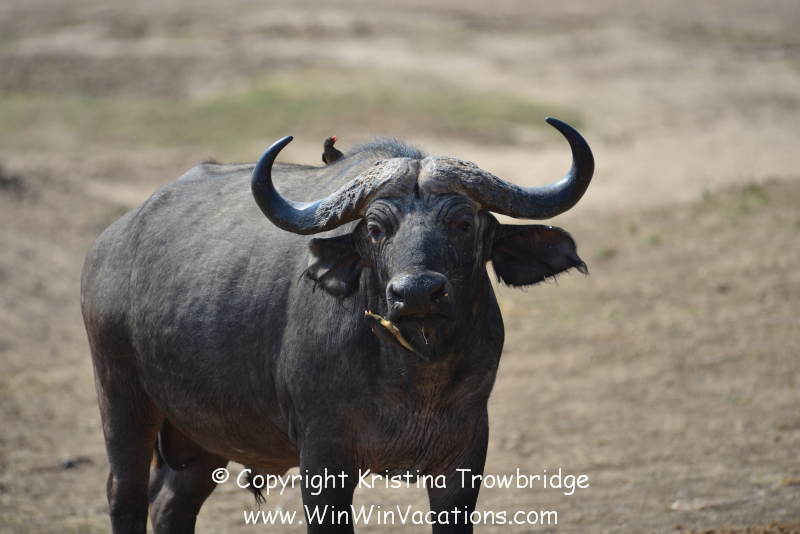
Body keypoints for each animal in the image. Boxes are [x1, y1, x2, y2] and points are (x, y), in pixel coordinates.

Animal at [80, 117, 593, 534]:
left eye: (464, 223)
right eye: (376, 229)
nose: (417, 293)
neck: (413, 374)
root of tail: (109, 243)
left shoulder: (464, 452)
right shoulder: (324, 458)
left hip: (206, 432)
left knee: (171, 502)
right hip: (121, 398)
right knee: (124, 495)